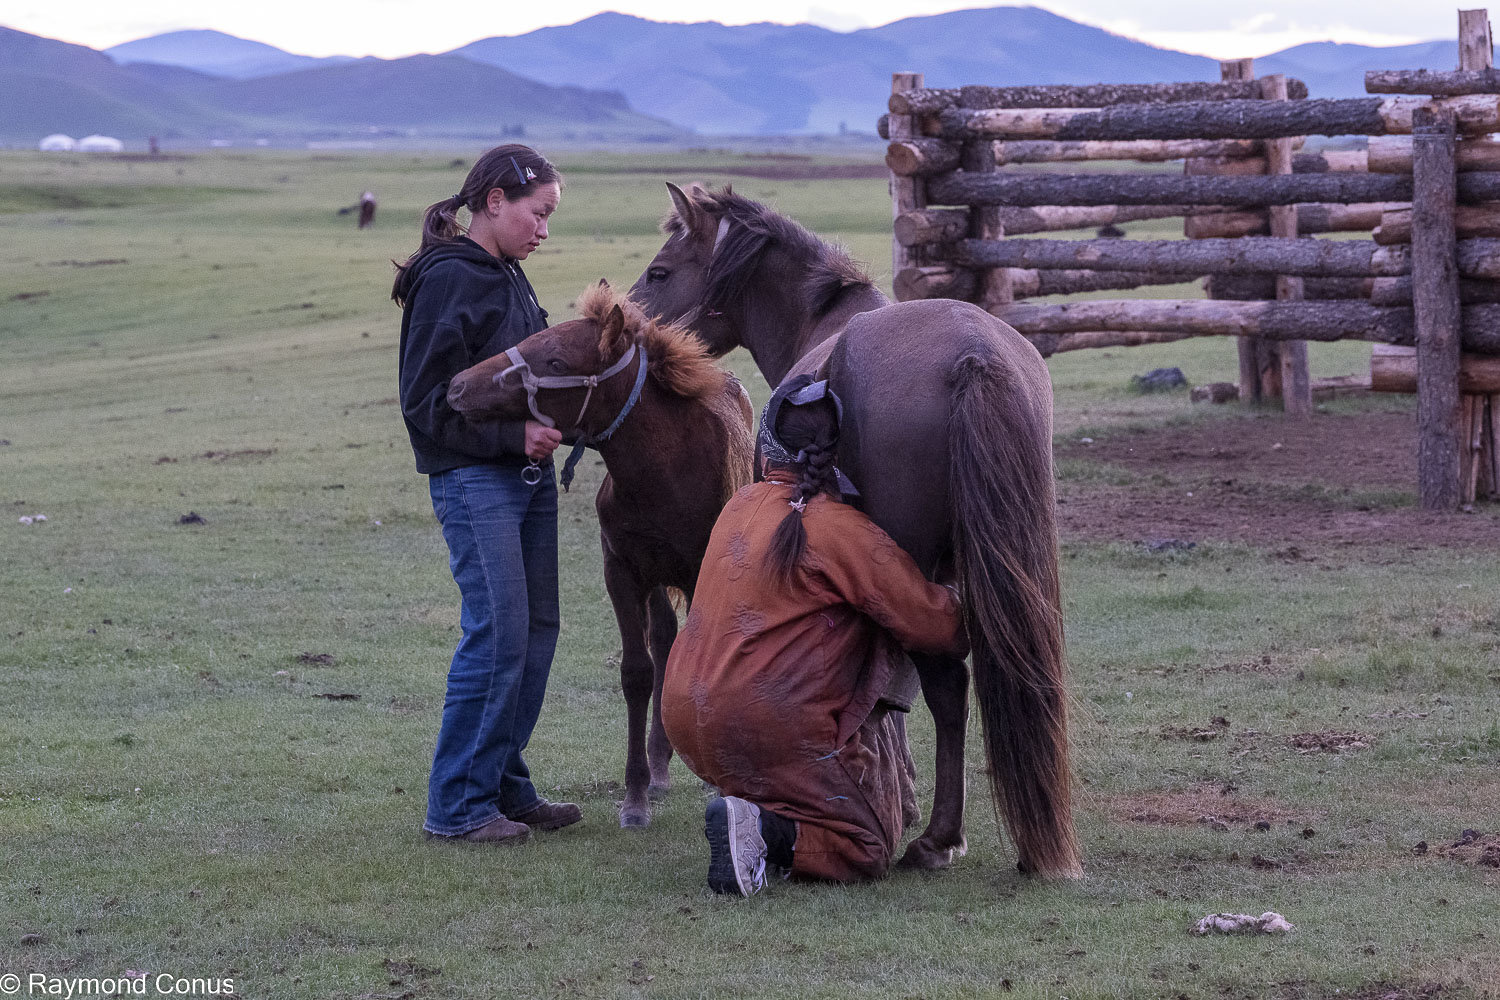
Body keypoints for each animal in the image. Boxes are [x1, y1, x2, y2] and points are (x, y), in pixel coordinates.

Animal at [446, 280, 755, 828]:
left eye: (553, 358)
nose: (457, 386)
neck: (667, 475)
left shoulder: (702, 572)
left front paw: (716, 783)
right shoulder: (623, 572)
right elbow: (637, 672)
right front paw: (634, 796)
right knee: (663, 639)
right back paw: (659, 765)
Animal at [628, 184, 1082, 878]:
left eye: (659, 272)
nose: (626, 325)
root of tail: (973, 355)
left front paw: (905, 792)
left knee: (947, 685)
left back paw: (938, 839)